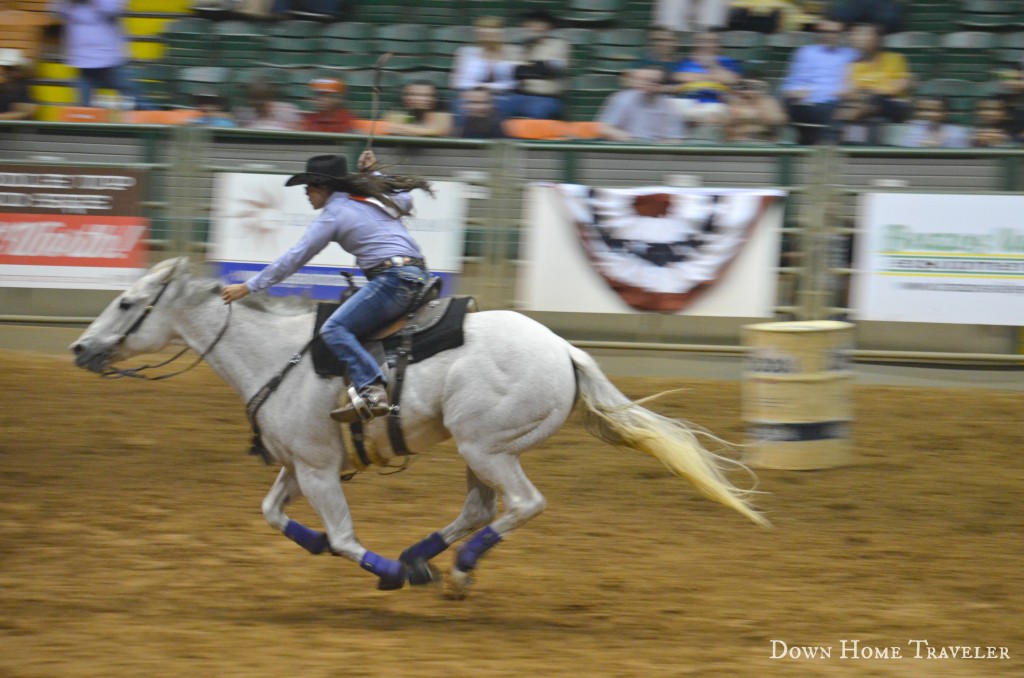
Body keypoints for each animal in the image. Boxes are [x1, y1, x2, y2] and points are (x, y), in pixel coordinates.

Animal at [72, 258, 765, 598]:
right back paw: (424, 558)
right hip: (480, 450)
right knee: (479, 508)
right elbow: (273, 516)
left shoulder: (319, 471)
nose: (80, 348)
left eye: (128, 303)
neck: (277, 356)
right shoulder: (300, 465)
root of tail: (566, 351)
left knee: (521, 505)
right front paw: (352, 555)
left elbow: (346, 539)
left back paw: (451, 569)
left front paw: (383, 571)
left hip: (488, 446)